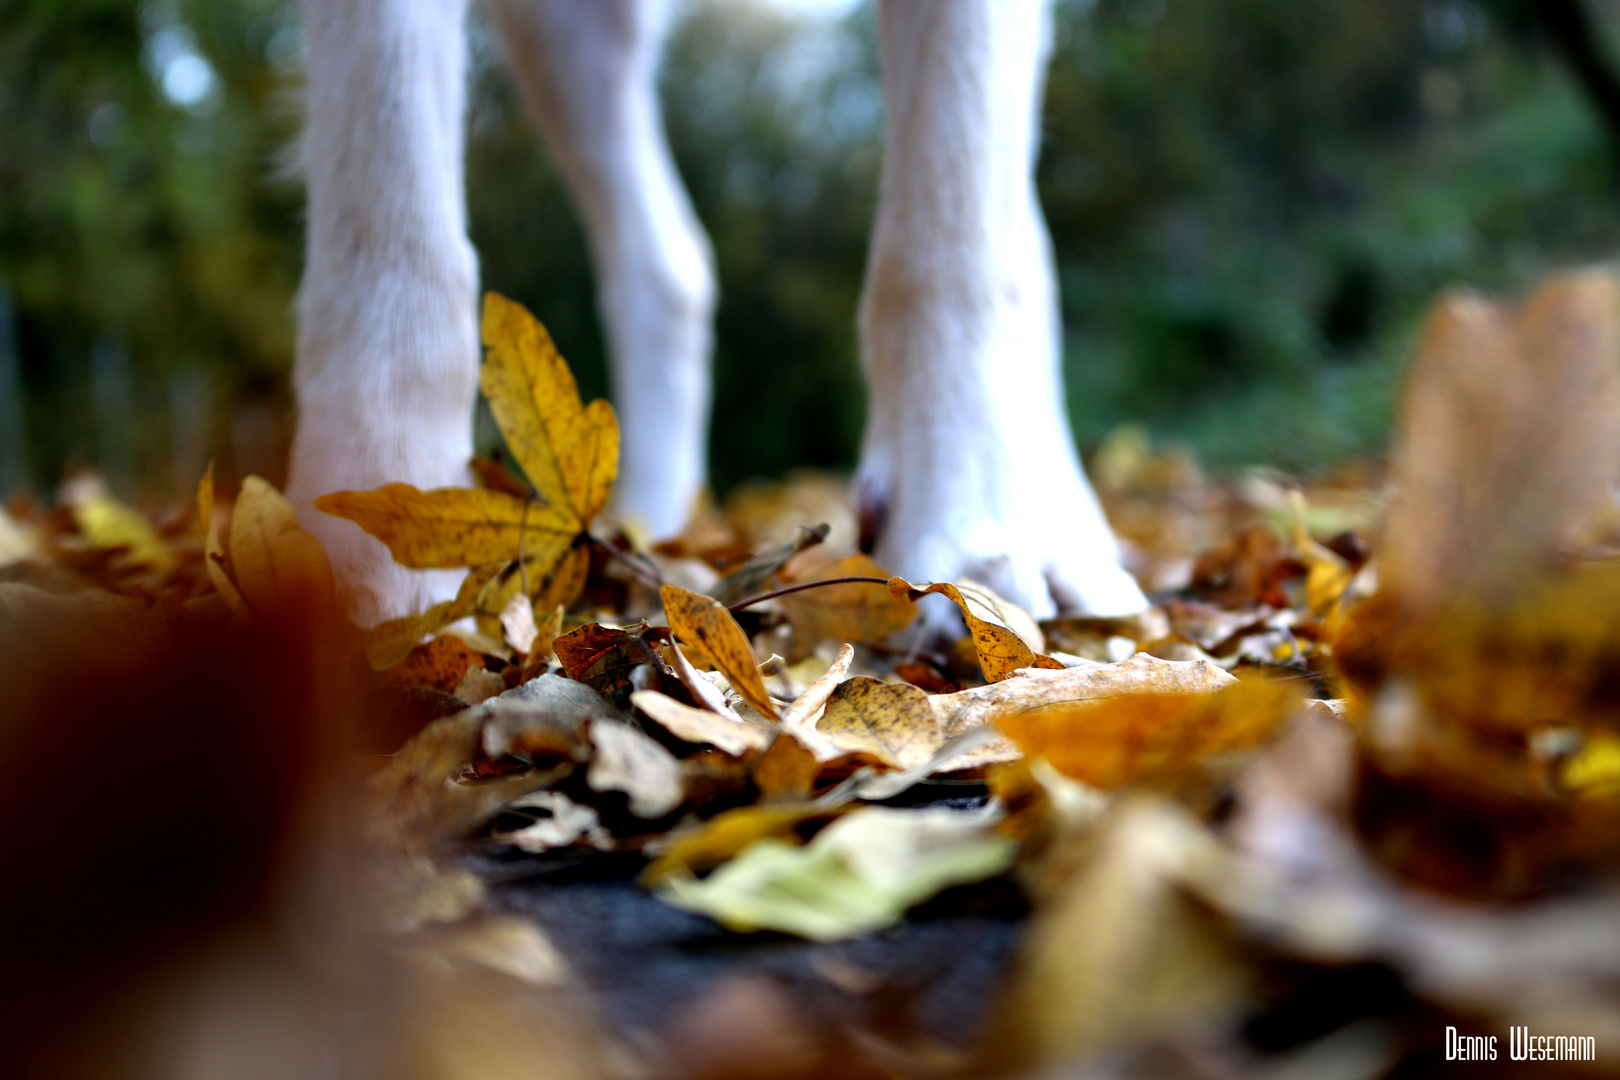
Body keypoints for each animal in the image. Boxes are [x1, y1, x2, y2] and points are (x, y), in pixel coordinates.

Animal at [288, 0, 1153, 625]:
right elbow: (390, 205)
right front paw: (379, 543)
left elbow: (951, 222)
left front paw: (966, 534)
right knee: (666, 262)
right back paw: (643, 519)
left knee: (1017, 229)